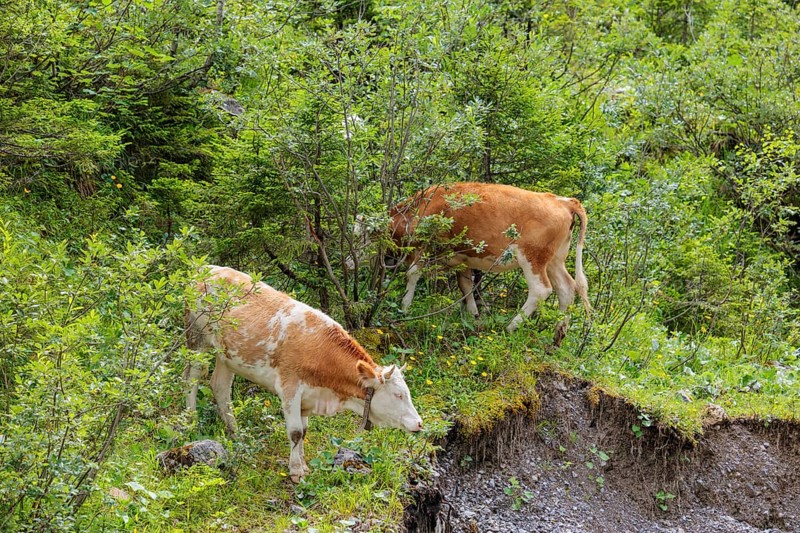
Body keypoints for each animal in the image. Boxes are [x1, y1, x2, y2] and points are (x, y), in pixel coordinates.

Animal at [184, 265, 423, 482]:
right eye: (398, 395)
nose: (420, 423)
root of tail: (205, 268)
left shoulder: (309, 395)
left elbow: (304, 431)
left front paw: (304, 465)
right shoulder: (290, 388)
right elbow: (296, 432)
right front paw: (296, 472)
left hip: (227, 356)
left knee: (220, 387)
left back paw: (234, 432)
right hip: (197, 339)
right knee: (192, 379)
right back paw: (190, 421)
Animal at [389, 182, 590, 332]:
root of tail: (564, 201)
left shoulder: (422, 247)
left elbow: (412, 274)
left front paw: (404, 307)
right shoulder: (462, 259)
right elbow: (466, 285)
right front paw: (473, 315)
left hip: (532, 257)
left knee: (541, 289)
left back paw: (510, 327)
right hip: (554, 260)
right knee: (566, 288)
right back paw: (558, 333)